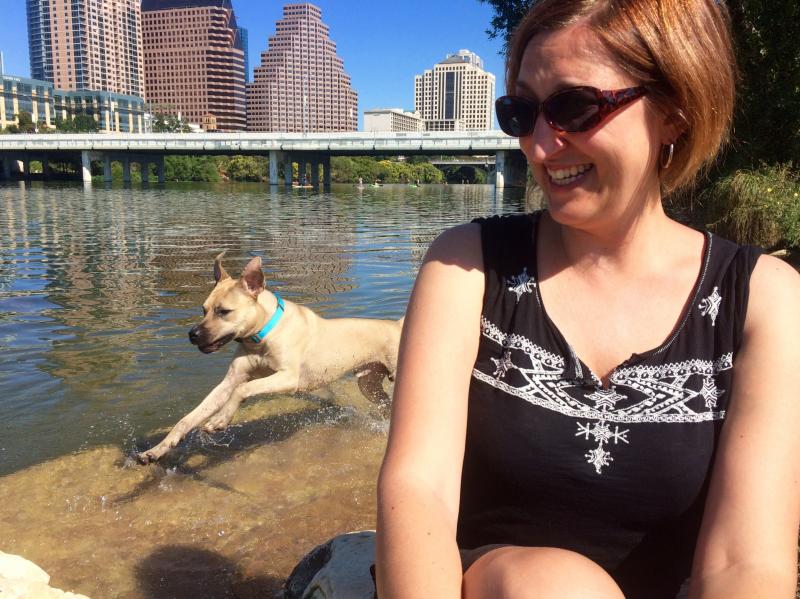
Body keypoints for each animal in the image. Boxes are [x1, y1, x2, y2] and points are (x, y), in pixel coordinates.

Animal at [135, 253, 406, 464]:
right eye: (204, 310)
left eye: (224, 311)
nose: (192, 334)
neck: (262, 336)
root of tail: (398, 325)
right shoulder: (230, 381)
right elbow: (189, 417)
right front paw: (156, 450)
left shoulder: (288, 378)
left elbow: (244, 389)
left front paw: (221, 418)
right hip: (368, 384)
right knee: (384, 405)